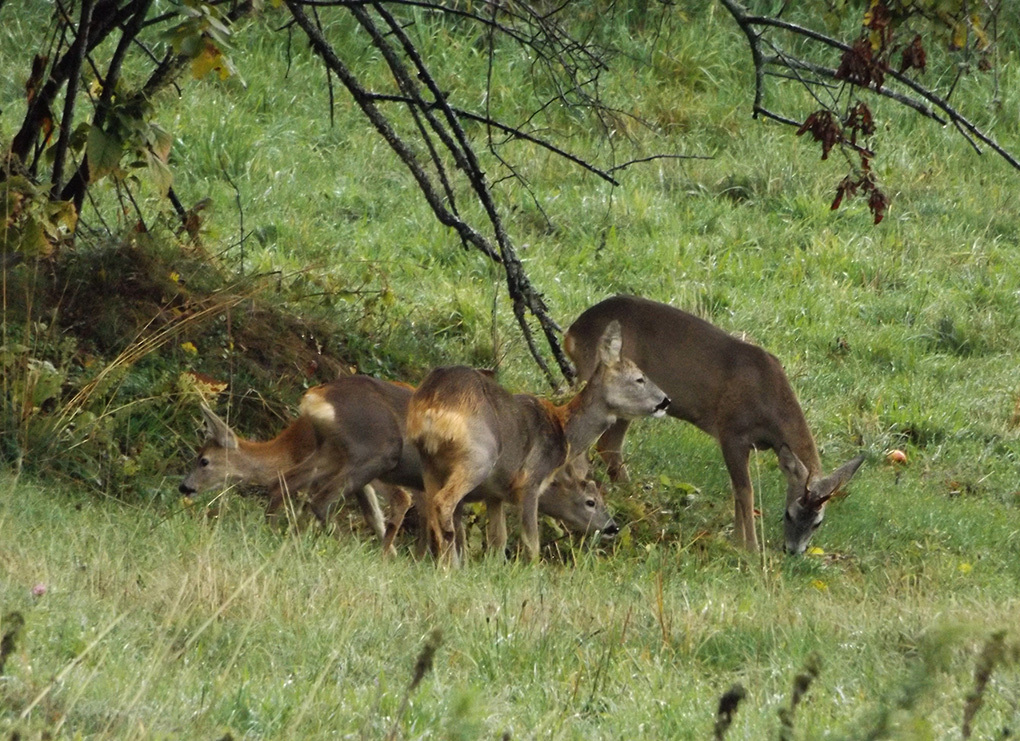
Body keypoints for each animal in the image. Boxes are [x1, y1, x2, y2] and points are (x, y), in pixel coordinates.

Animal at [405, 320, 669, 567]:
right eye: (639, 379)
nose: (665, 401)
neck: (563, 432)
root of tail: (433, 404)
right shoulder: (530, 480)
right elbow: (532, 542)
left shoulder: (495, 493)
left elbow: (498, 540)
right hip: (478, 457)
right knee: (443, 504)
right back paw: (449, 565)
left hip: (429, 462)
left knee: (433, 510)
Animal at [563, 293, 864, 555]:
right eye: (788, 514)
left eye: (818, 523)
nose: (793, 551)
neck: (769, 397)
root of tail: (572, 333)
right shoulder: (731, 431)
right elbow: (745, 491)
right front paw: (750, 548)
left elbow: (736, 491)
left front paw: (738, 541)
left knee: (609, 446)